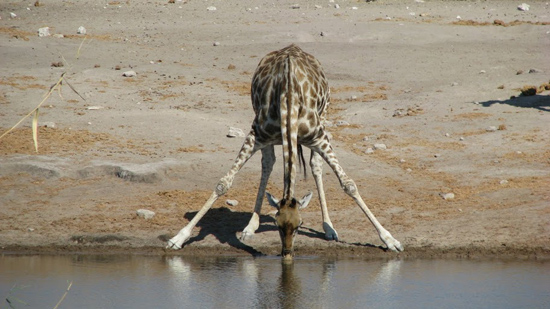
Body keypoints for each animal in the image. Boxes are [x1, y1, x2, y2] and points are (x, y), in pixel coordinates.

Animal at [168, 44, 406, 258]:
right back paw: (251, 226)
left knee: (315, 165)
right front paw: (178, 238)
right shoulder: (255, 135)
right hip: (265, 128)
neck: (288, 100)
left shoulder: (319, 137)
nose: (287, 253)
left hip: (324, 115)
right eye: (277, 223)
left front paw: (390, 239)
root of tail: (293, 48)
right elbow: (223, 184)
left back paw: (328, 227)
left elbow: (349, 184)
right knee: (268, 163)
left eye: (300, 224)